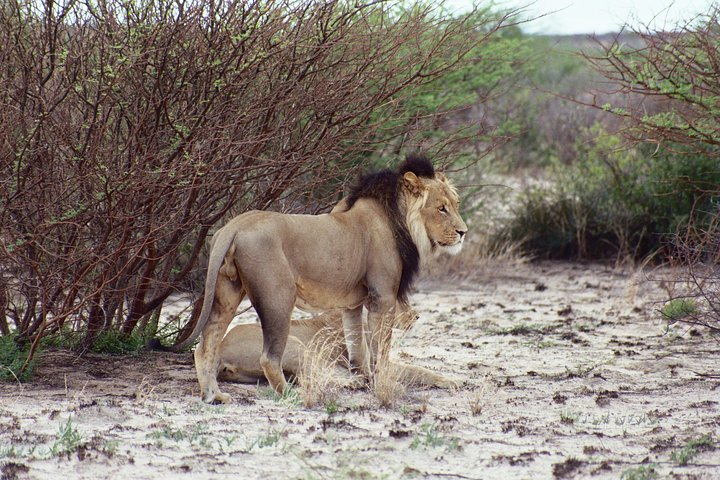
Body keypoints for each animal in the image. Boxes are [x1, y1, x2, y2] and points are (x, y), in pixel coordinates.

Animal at [170, 156, 466, 404]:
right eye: (441, 209)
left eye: (455, 206)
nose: (463, 232)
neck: (399, 220)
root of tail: (235, 225)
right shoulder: (382, 295)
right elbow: (382, 352)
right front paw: (384, 386)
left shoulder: (352, 304)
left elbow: (358, 349)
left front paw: (363, 379)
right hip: (278, 298)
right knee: (270, 358)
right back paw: (292, 396)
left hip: (227, 292)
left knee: (205, 345)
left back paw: (214, 396)